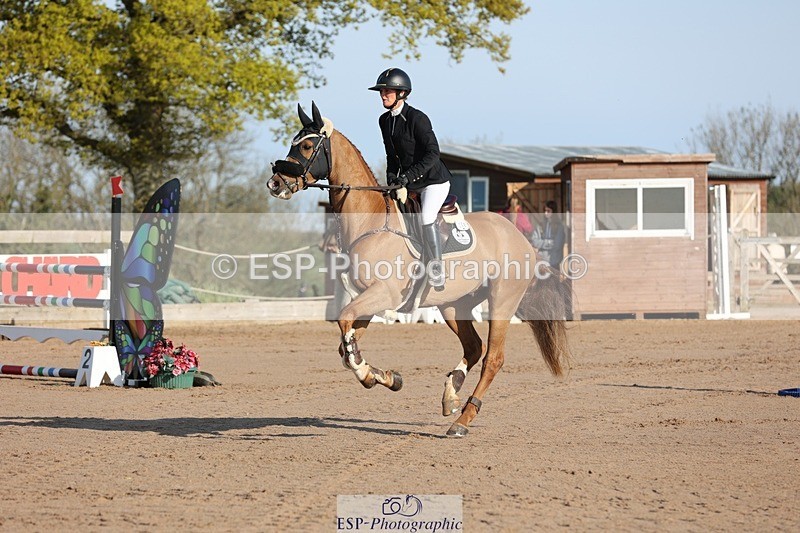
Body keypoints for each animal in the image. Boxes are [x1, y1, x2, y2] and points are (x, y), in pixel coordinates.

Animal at [267, 102, 572, 437]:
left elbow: (346, 329)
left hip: (502, 301)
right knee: (474, 347)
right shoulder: (367, 297)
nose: (275, 183)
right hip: (455, 304)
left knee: (493, 358)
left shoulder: (383, 294)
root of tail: (520, 239)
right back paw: (451, 394)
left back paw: (462, 420)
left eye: (307, 146)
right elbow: (346, 343)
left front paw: (367, 373)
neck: (371, 221)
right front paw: (384, 377)